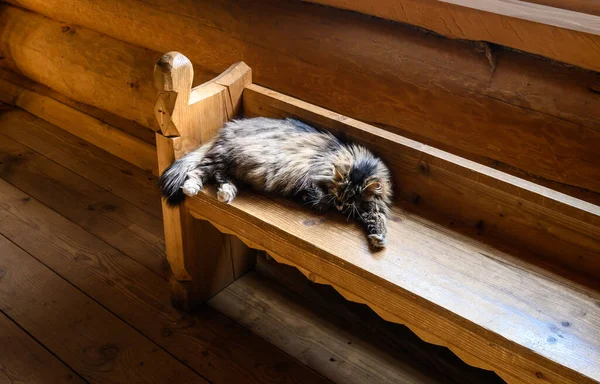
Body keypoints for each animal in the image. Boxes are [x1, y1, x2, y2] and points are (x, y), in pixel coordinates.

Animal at [159, 117, 394, 249]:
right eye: (340, 194)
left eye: (352, 197)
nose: (339, 205)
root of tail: (228, 128)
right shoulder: (312, 177)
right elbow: (319, 198)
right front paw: (315, 200)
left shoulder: (374, 206)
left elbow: (378, 218)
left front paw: (378, 238)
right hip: (226, 155)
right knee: (199, 171)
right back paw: (192, 188)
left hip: (232, 164)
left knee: (219, 176)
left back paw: (226, 193)